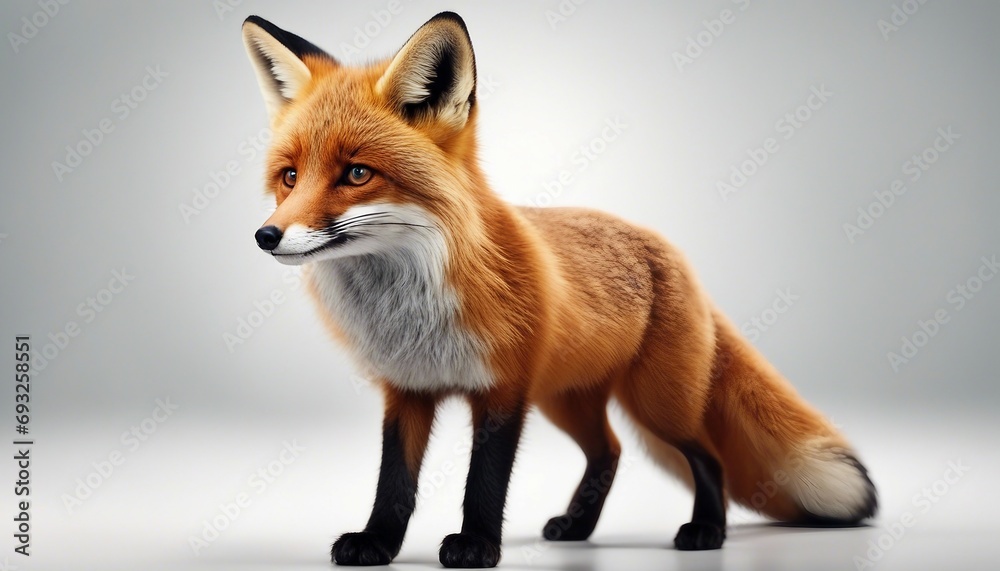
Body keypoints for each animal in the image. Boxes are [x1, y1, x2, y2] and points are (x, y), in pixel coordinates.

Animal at [240, 11, 877, 568]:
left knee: (708, 455)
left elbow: (484, 481)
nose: (265, 236)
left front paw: (476, 547)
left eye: (356, 173)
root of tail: (665, 247)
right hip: (568, 400)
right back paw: (578, 527)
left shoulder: (504, 390)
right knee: (610, 452)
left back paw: (706, 532)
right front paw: (378, 543)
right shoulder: (407, 390)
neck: (412, 310)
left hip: (656, 403)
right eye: (290, 177)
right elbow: (394, 483)